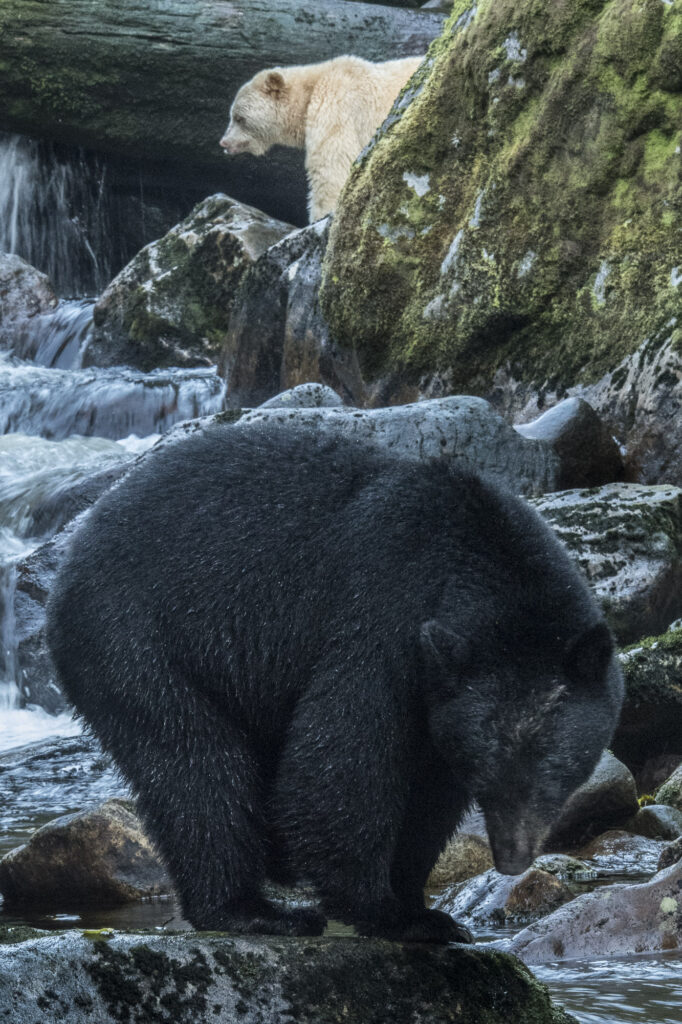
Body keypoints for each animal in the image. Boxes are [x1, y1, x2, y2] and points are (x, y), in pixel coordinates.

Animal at [46, 423, 623, 943]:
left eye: (556, 766)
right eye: (487, 770)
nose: (512, 857)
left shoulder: (440, 691)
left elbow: (428, 797)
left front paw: (421, 907)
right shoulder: (382, 622)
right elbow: (339, 765)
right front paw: (387, 913)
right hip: (137, 642)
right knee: (197, 766)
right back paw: (253, 911)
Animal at [219, 55, 423, 222]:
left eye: (239, 118)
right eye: (232, 115)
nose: (224, 142)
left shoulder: (334, 106)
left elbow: (331, 166)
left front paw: (321, 216)